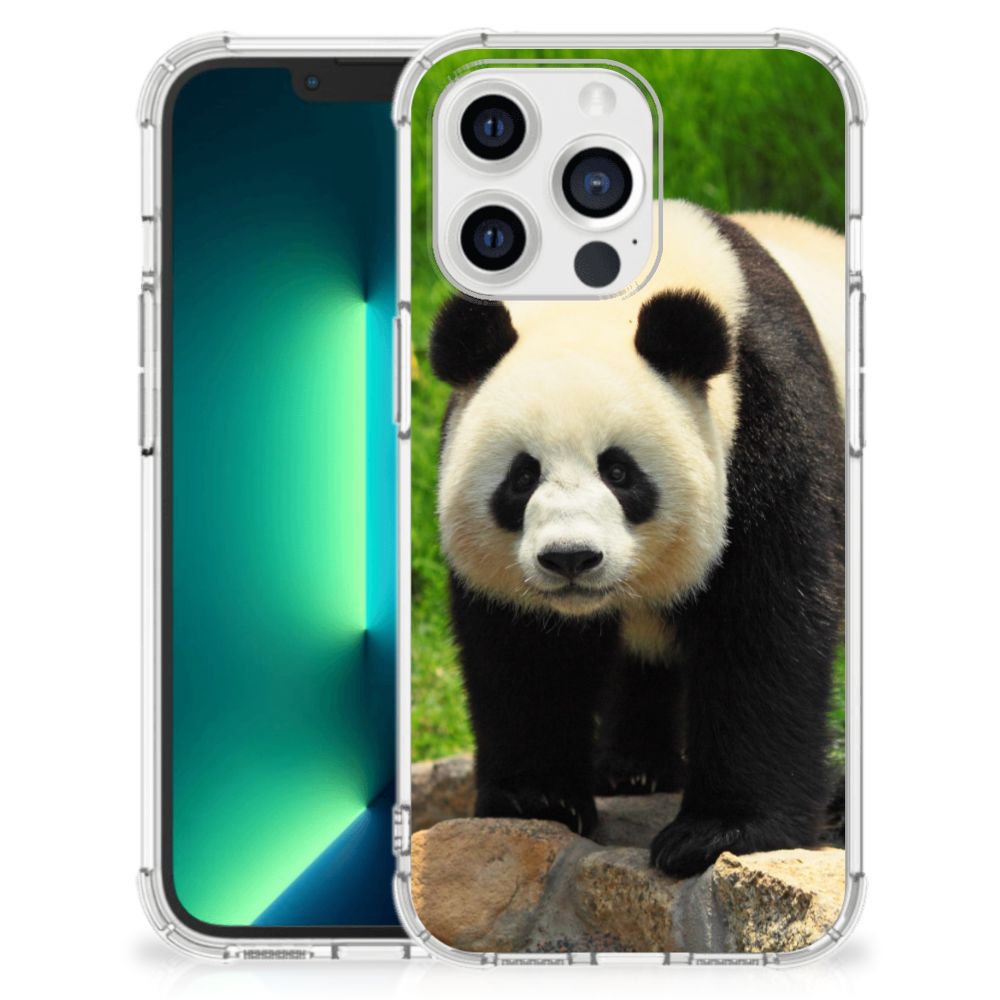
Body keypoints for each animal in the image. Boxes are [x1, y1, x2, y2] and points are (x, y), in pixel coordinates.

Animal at [427, 200, 845, 877]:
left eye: (619, 472)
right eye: (522, 476)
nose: (570, 558)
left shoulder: (768, 421)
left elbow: (766, 624)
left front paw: (719, 833)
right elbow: (526, 649)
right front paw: (536, 799)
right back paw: (633, 769)